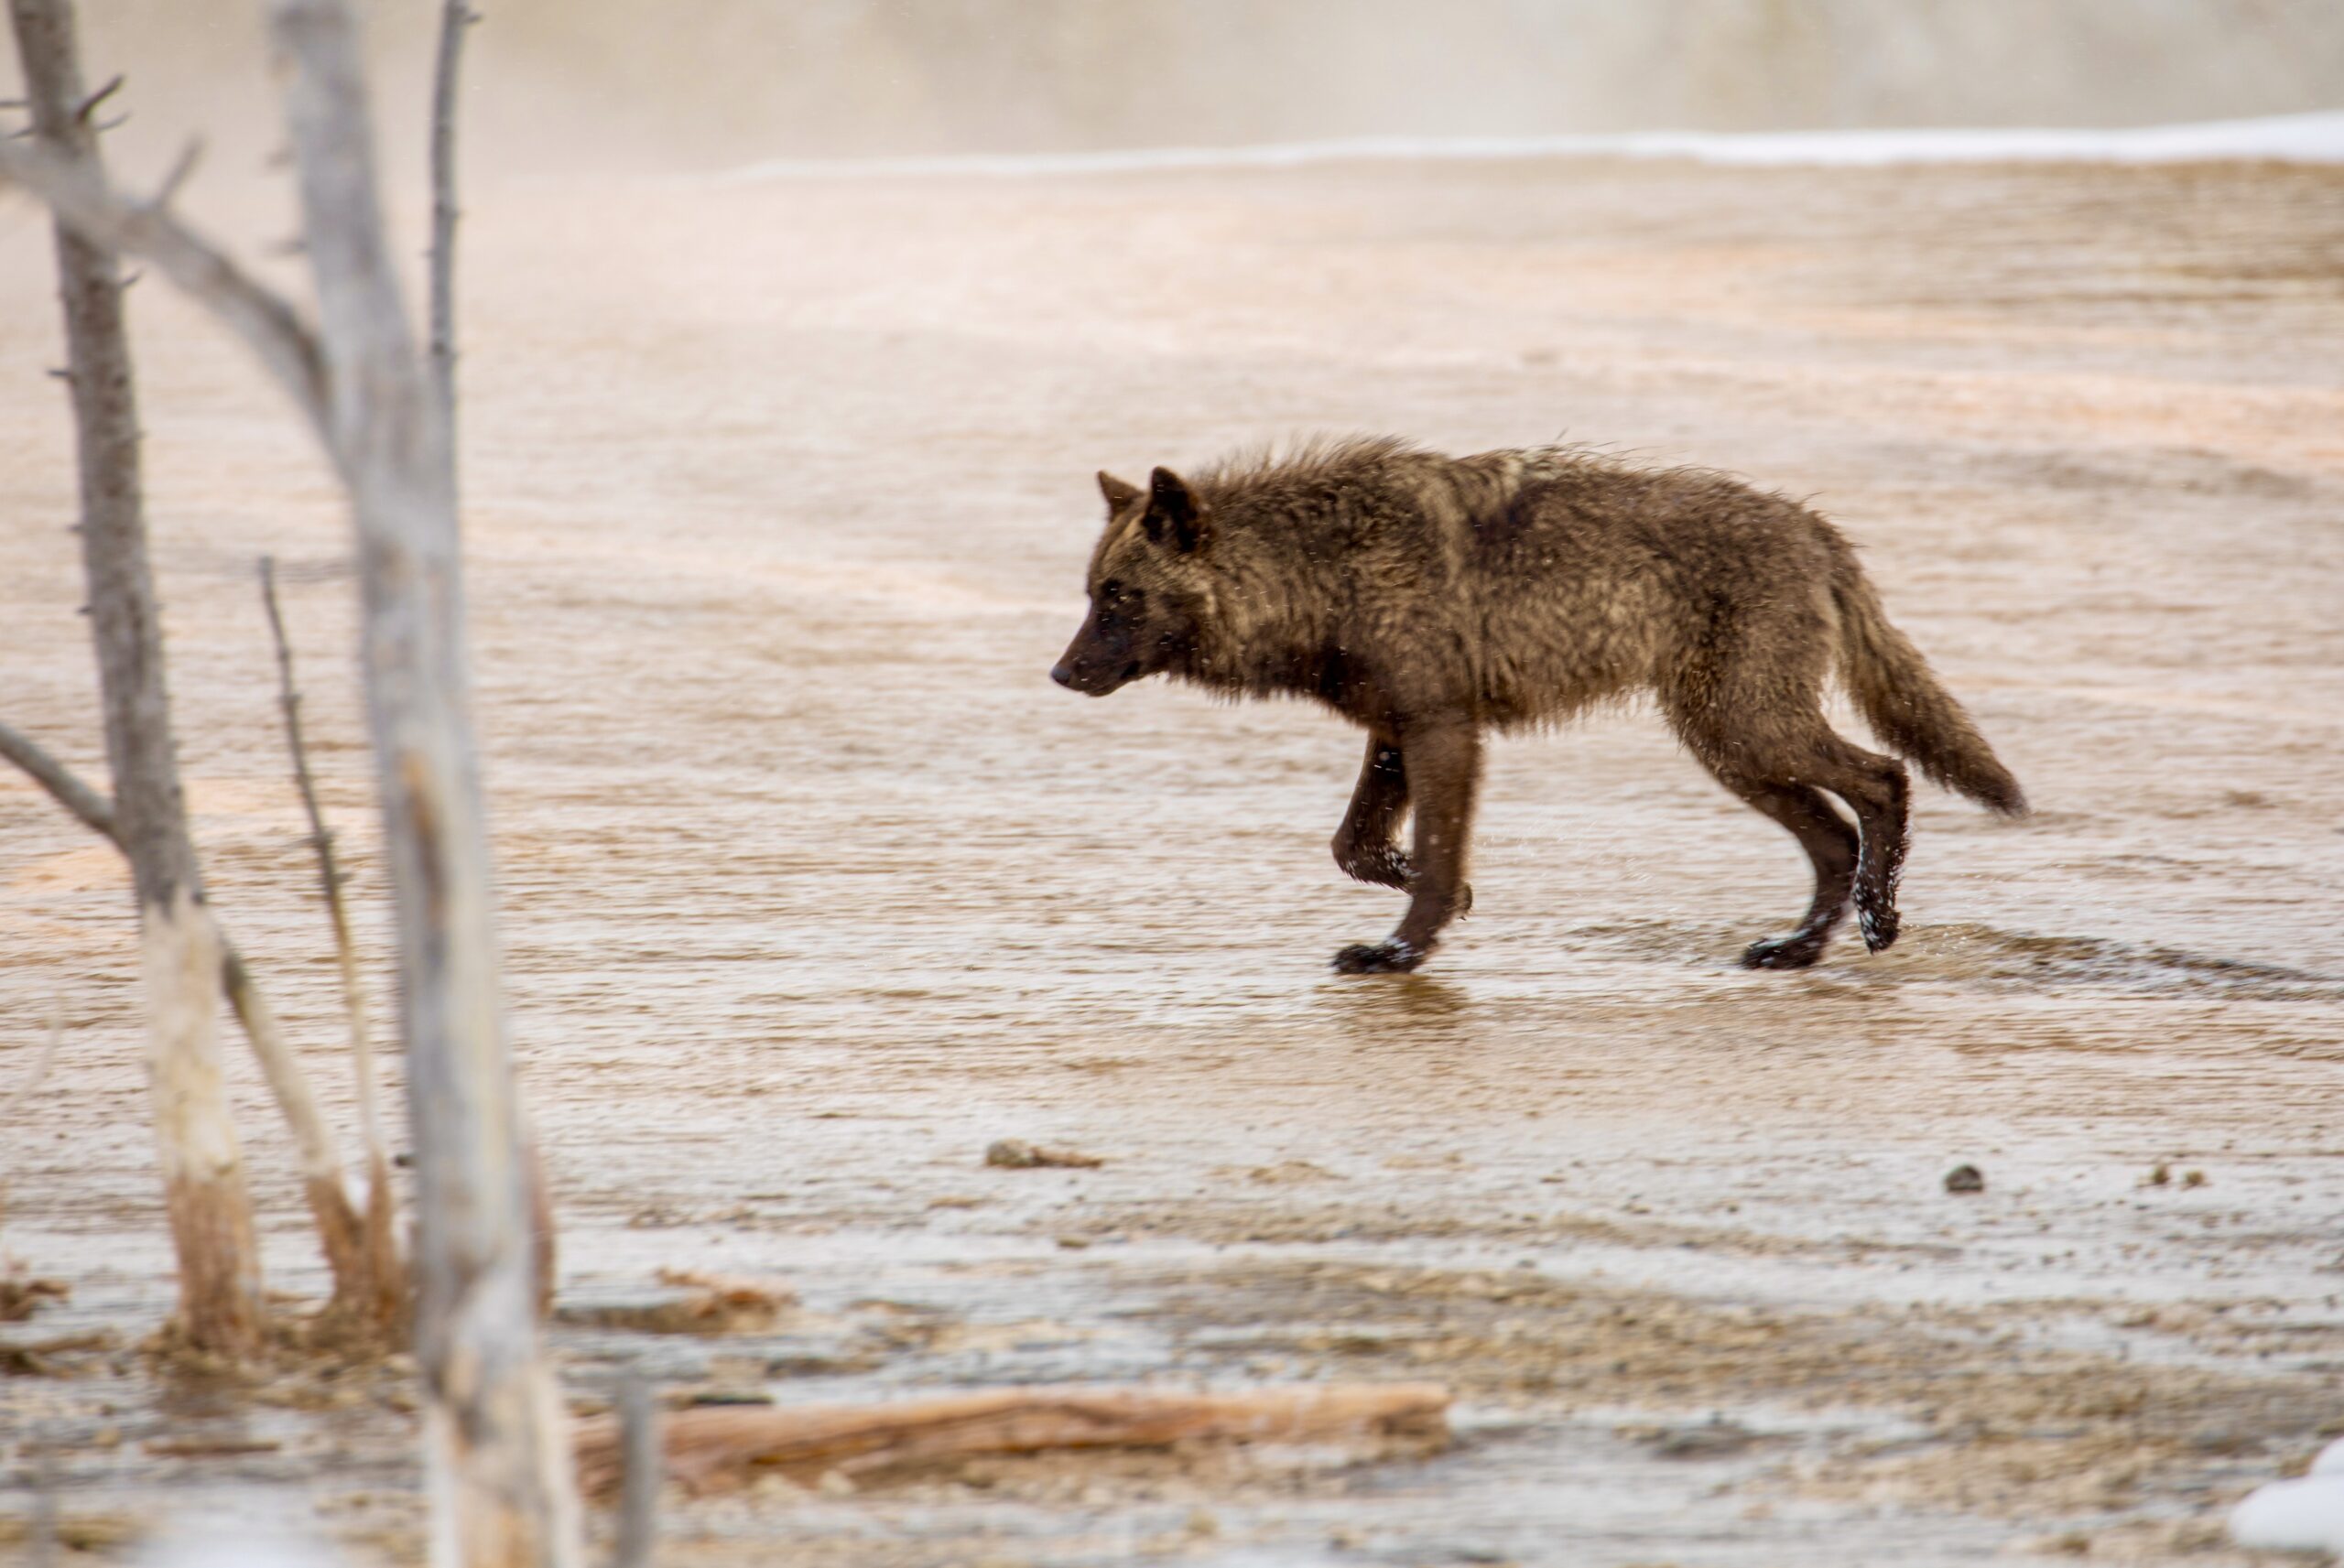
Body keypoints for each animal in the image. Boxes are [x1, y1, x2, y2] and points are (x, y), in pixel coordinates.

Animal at [1055, 440, 2024, 970]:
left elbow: (1427, 856)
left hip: (1746, 733)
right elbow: (1360, 847)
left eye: (1119, 598)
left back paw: (1878, 921)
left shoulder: (1445, 730)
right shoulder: (1397, 732)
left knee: (1885, 780)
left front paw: (1400, 952)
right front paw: (1446, 903)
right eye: (1091, 594)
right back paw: (1797, 949)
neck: (1319, 570)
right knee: (1836, 836)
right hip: (1730, 748)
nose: (1060, 675)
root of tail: (1815, 526)